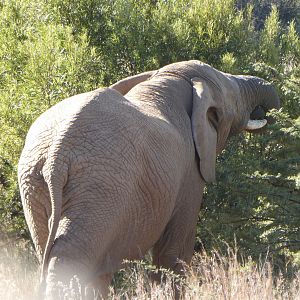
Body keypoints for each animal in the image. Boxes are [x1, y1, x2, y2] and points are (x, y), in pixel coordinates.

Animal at [18, 59, 278, 298]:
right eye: (234, 96)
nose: (266, 113)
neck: (167, 81)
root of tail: (57, 153)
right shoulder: (189, 175)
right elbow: (174, 253)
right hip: (100, 187)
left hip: (34, 183)